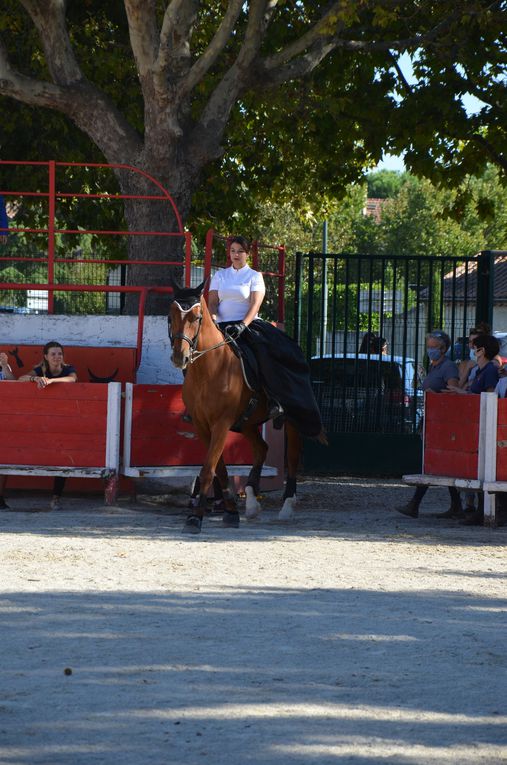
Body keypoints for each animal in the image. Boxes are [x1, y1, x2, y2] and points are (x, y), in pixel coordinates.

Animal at [170, 278, 310, 536]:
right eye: (171, 314)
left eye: (196, 316)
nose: (179, 357)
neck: (209, 369)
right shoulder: (202, 425)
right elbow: (220, 469)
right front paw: (231, 512)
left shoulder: (221, 424)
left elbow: (208, 469)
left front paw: (195, 518)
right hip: (248, 423)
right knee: (261, 448)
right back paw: (253, 501)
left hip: (292, 419)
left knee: (293, 457)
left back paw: (287, 506)